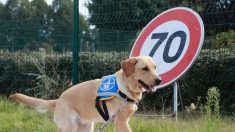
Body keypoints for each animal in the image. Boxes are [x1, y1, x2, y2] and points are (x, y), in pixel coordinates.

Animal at [11, 55, 162, 132]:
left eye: (155, 67)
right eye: (145, 68)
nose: (159, 80)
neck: (125, 87)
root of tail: (59, 99)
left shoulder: (121, 122)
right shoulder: (121, 122)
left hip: (85, 127)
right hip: (69, 126)